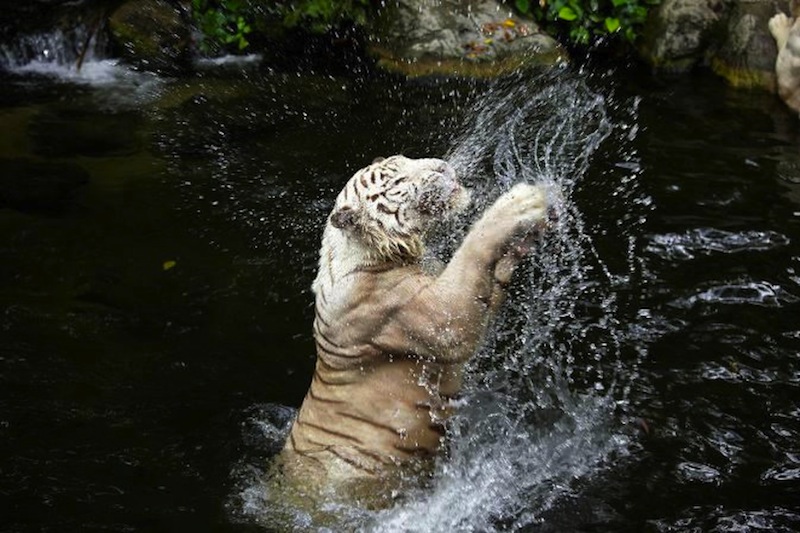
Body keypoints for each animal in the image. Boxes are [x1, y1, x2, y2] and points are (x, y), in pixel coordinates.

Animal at [277, 155, 552, 505]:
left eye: (406, 159)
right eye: (397, 181)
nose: (443, 167)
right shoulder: (435, 316)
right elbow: (470, 258)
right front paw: (520, 202)